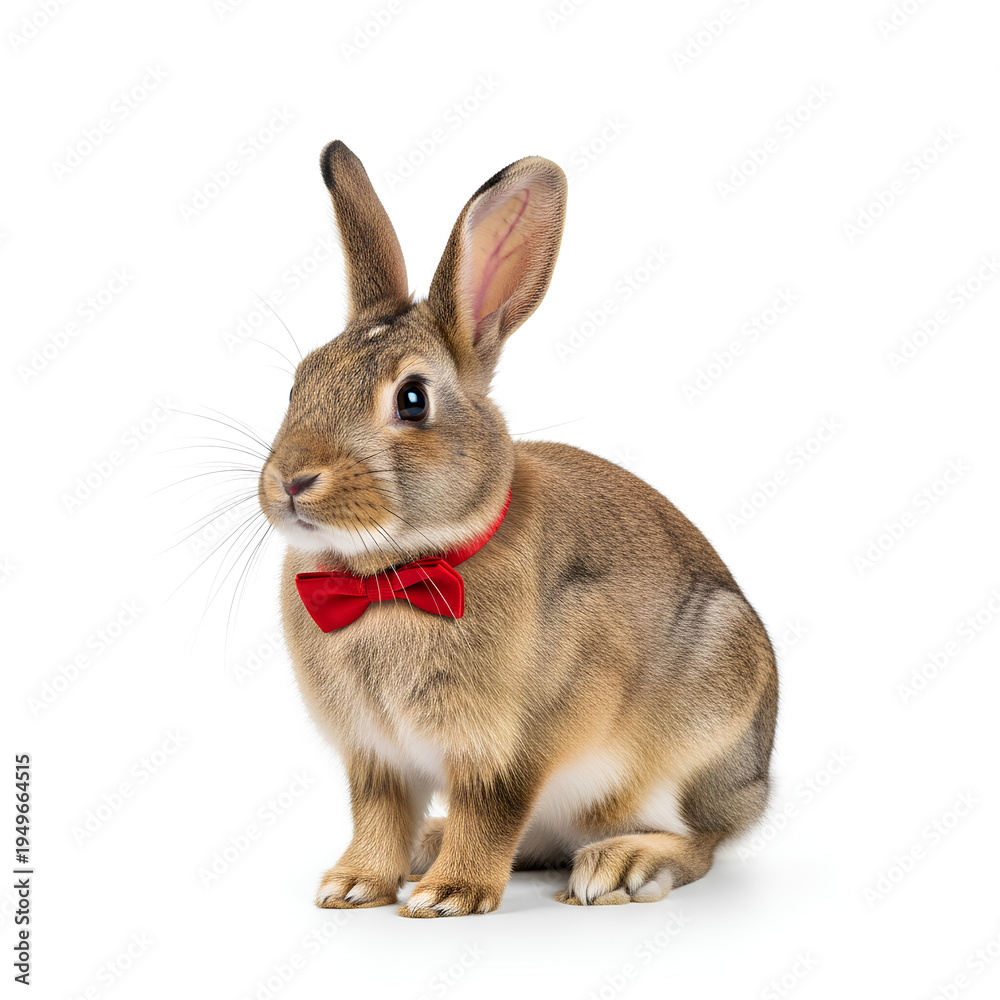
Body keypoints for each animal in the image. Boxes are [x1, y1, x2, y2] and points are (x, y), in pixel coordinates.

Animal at [256, 140, 778, 917]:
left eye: (412, 400)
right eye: (299, 382)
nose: (292, 480)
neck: (391, 574)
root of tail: (759, 785)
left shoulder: (510, 749)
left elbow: (491, 813)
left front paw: (447, 898)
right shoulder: (376, 756)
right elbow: (378, 815)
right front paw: (352, 885)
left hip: (699, 740)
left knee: (697, 842)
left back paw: (620, 867)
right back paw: (431, 844)